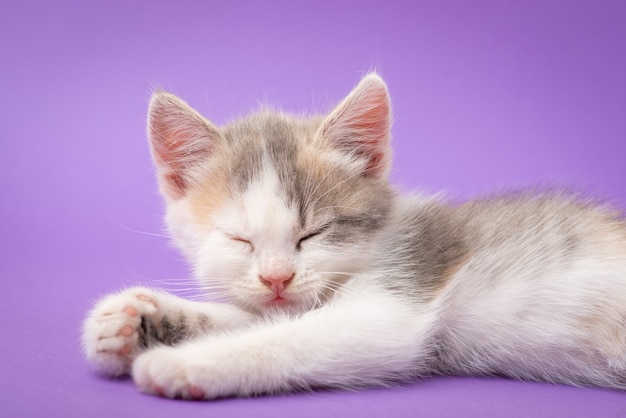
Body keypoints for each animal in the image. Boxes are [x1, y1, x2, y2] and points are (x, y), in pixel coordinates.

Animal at [80, 74, 624, 398]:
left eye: (313, 233)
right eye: (239, 239)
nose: (277, 279)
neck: (377, 244)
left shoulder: (400, 294)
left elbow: (289, 336)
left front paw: (179, 363)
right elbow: (261, 317)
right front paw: (135, 320)